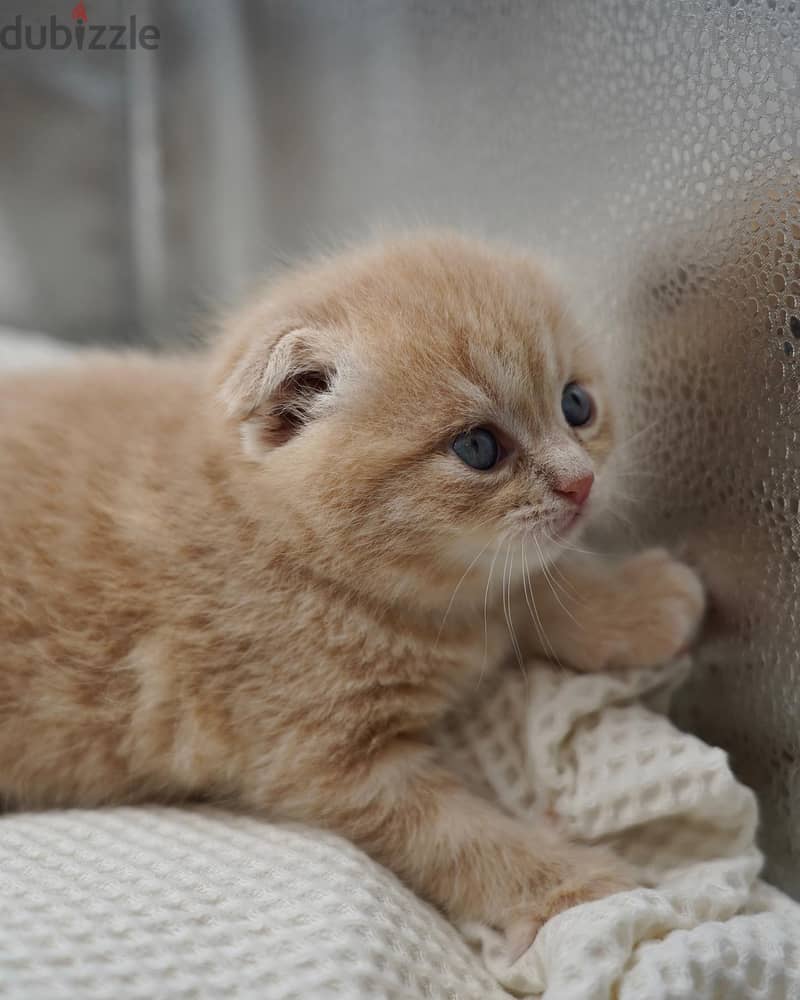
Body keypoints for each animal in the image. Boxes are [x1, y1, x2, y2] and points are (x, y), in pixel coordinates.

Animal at [0, 232, 700, 952]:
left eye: (576, 405)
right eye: (478, 447)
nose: (580, 482)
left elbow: (527, 587)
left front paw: (633, 605)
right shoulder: (328, 765)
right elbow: (465, 840)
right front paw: (581, 885)